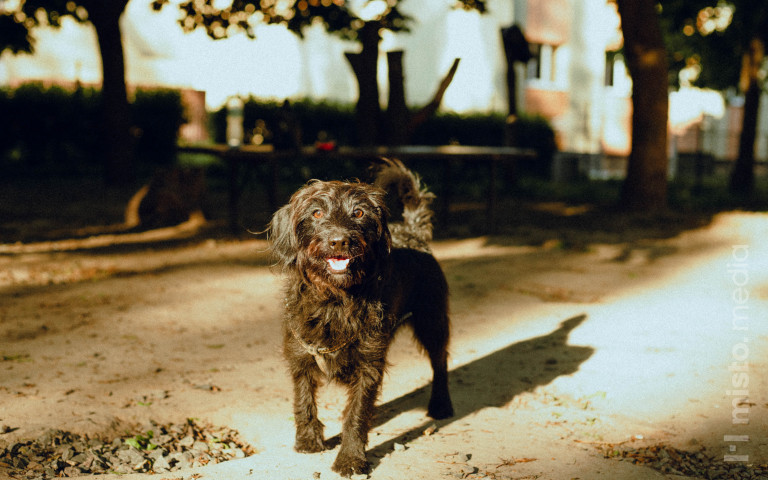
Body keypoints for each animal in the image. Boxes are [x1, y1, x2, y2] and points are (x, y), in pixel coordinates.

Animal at [268, 158, 452, 476]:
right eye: (316, 212)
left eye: (359, 212)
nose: (339, 241)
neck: (334, 299)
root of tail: (414, 233)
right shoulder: (300, 357)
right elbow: (303, 400)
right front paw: (307, 440)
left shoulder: (369, 365)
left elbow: (356, 414)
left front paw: (351, 458)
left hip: (432, 321)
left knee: (440, 361)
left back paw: (441, 405)